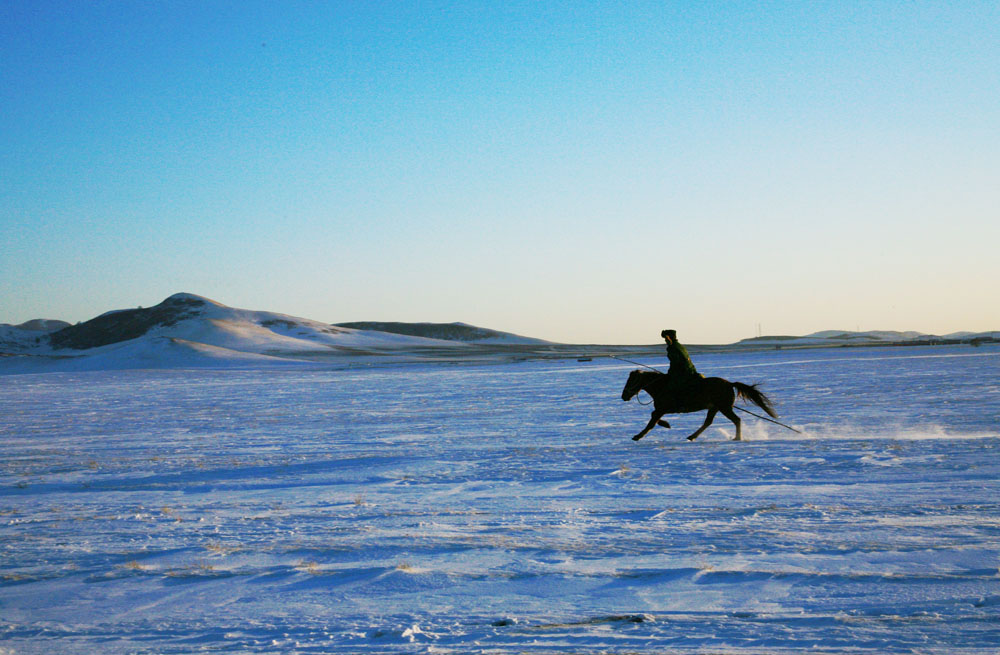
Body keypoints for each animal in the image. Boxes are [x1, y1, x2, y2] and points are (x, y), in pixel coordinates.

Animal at [620, 372, 776, 444]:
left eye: (631, 380)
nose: (624, 396)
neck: (661, 386)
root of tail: (730, 384)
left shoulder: (662, 409)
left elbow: (651, 421)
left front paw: (638, 436)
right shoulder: (662, 410)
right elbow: (654, 419)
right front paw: (666, 424)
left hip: (724, 407)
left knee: (736, 420)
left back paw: (737, 438)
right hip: (715, 408)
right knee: (708, 422)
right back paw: (692, 436)